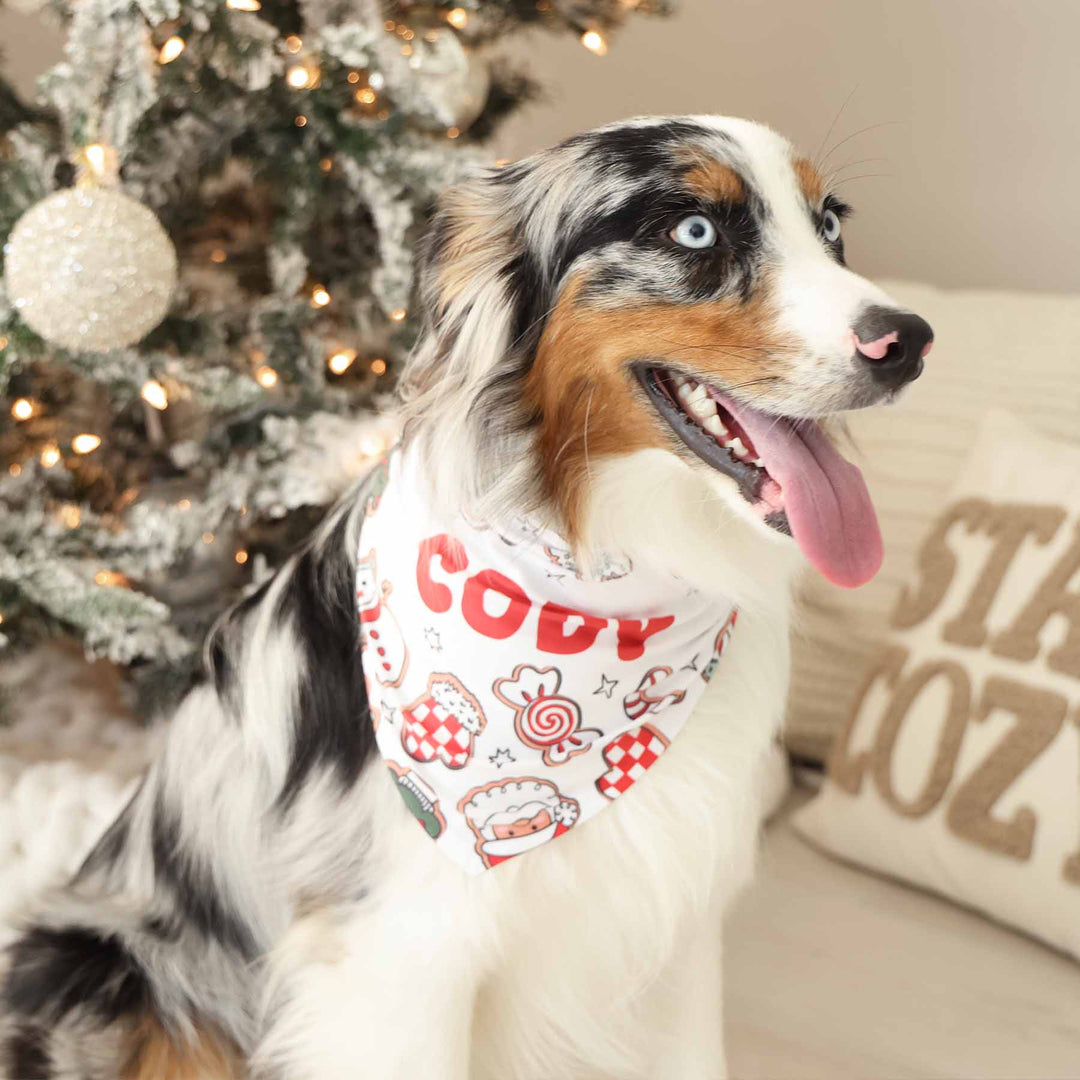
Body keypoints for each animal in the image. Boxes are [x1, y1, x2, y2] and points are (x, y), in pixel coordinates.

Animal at [0, 113, 933, 1075]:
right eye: (695, 230)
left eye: (830, 226)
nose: (908, 340)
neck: (602, 581)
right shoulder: (397, 957)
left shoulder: (677, 921)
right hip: (114, 971)